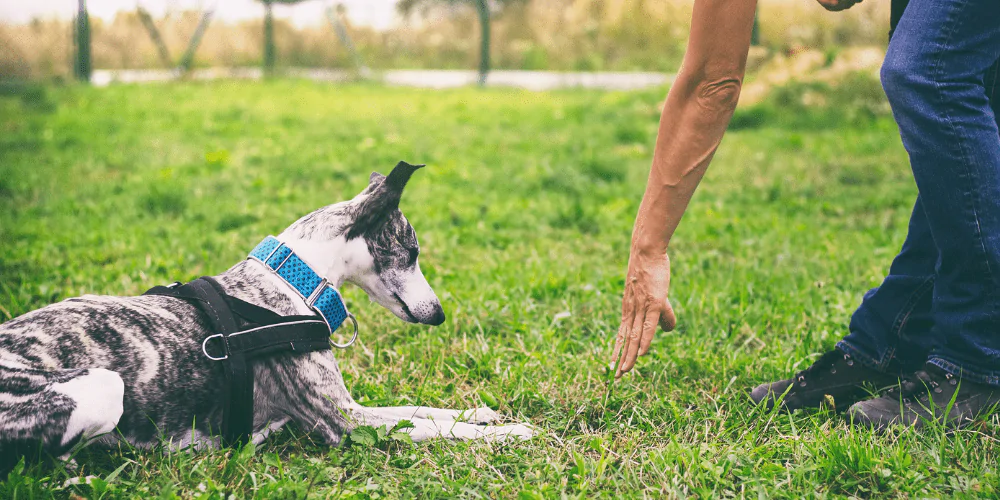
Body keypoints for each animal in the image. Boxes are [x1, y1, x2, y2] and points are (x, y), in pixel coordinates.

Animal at [0, 162, 532, 470]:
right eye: (413, 252)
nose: (439, 315)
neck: (292, 281)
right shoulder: (345, 421)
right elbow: (436, 428)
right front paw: (509, 434)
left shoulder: (353, 407)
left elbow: (422, 410)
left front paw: (483, 414)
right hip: (101, 386)